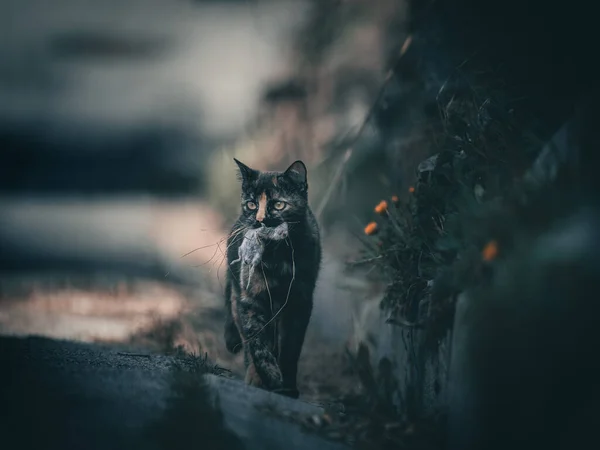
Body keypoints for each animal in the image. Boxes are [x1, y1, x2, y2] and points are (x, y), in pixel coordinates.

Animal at [223, 158, 322, 398]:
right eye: (251, 204)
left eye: (278, 205)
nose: (260, 220)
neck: (278, 256)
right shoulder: (251, 298)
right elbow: (258, 342)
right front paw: (268, 376)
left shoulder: (299, 302)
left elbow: (290, 348)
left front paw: (287, 386)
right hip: (237, 298)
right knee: (247, 340)